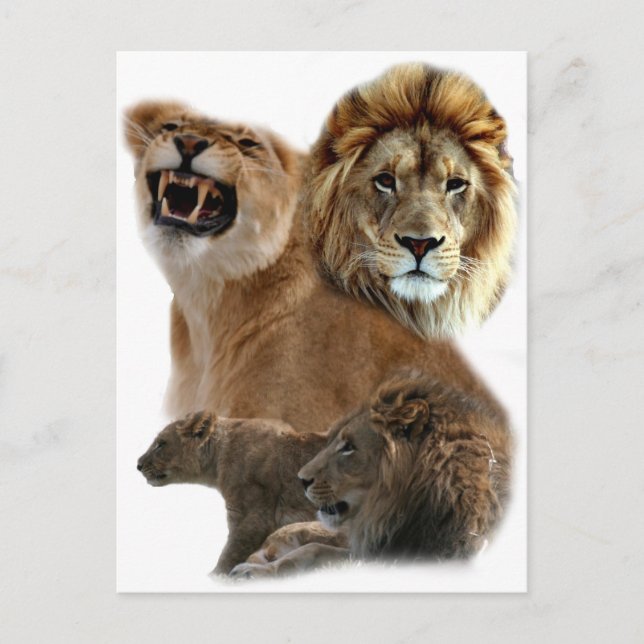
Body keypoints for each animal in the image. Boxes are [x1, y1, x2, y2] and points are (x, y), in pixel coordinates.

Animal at [230, 371, 511, 578]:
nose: (301, 479)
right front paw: (254, 569)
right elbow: (313, 549)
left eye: (349, 447)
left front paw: (254, 572)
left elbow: (313, 551)